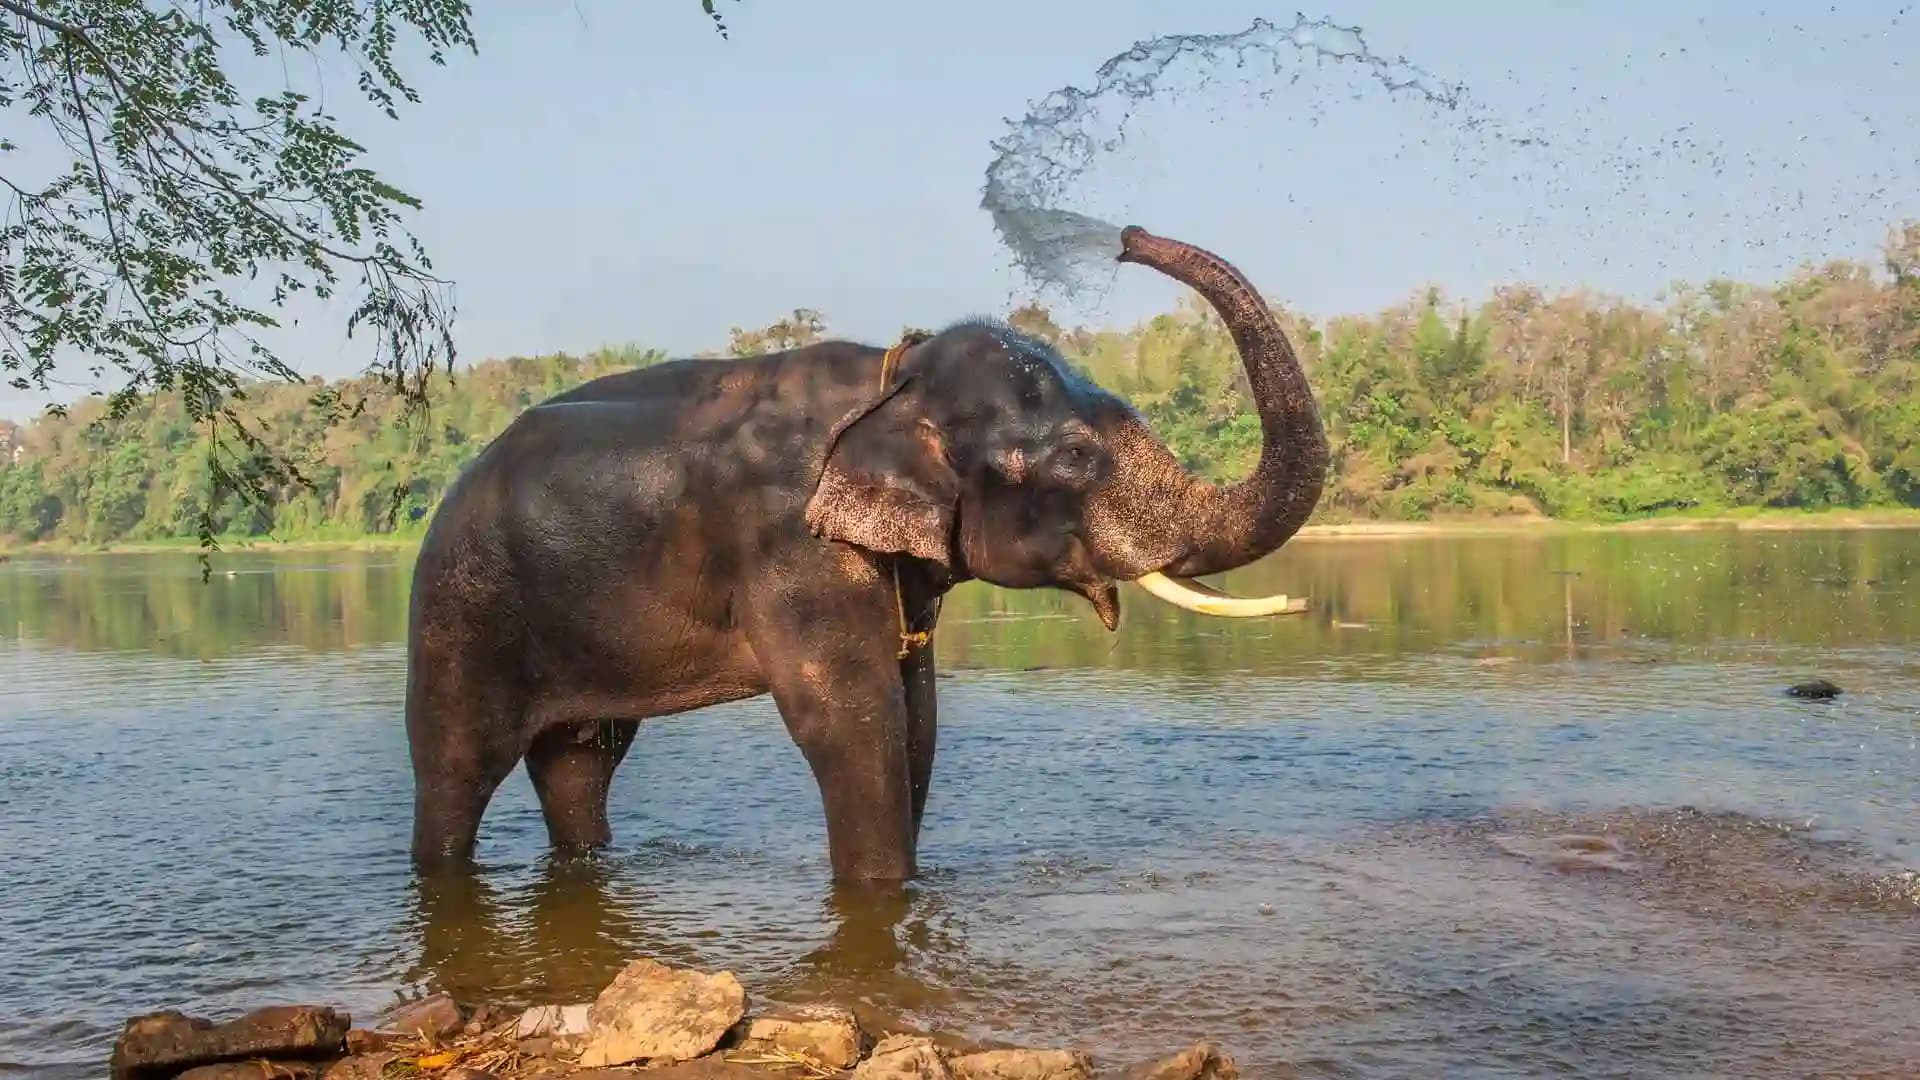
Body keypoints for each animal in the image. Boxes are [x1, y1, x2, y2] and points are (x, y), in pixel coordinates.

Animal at [404, 226, 1329, 880]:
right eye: (1073, 456)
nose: (1129, 237)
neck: (896, 377)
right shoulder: (792, 545)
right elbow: (851, 720)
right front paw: (884, 894)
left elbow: (917, 715)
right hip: (461, 608)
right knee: (457, 765)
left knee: (580, 762)